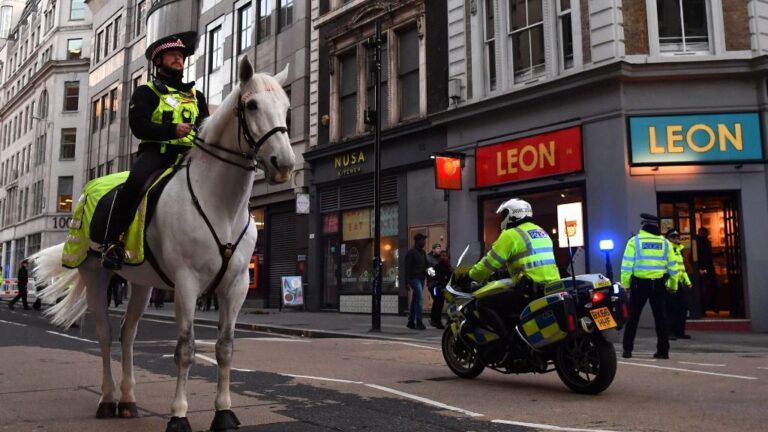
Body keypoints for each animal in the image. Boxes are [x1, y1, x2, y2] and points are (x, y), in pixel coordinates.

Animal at [30, 55, 294, 430]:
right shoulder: (186, 282)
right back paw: (108, 399)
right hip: (95, 273)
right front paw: (179, 415)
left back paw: (128, 400)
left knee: (127, 333)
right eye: (252, 104)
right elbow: (184, 349)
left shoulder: (237, 284)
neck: (221, 204)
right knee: (104, 333)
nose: (283, 164)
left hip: (141, 282)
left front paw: (224, 412)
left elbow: (225, 347)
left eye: (286, 107)